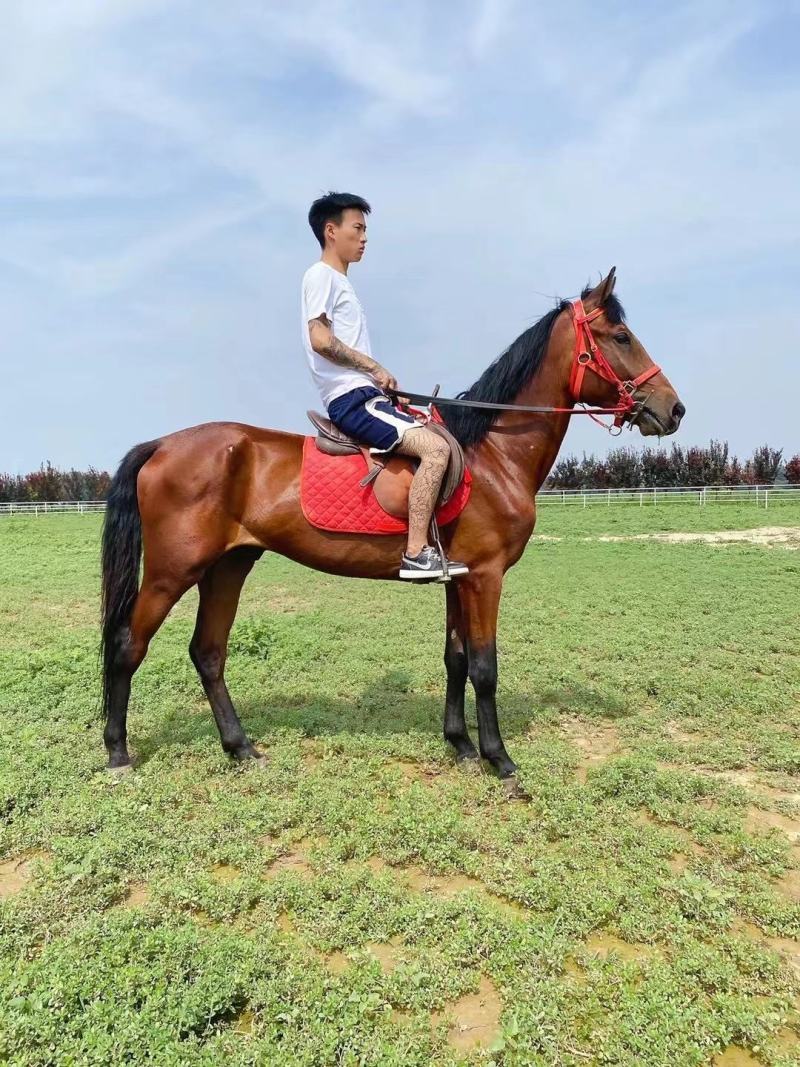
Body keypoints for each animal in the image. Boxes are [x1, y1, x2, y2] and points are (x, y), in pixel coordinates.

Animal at [100, 269, 684, 793]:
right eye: (621, 336)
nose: (673, 408)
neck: (493, 454)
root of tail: (162, 444)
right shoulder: (486, 577)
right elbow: (485, 667)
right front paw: (500, 759)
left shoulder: (458, 577)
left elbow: (455, 658)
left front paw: (460, 745)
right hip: (174, 570)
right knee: (130, 644)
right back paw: (118, 752)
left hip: (228, 566)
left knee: (208, 653)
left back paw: (241, 748)